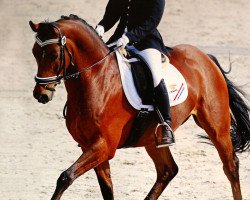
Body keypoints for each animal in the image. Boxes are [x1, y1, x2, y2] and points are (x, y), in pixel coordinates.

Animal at [29, 14, 250, 199]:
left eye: (53, 55)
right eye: (34, 53)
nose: (41, 94)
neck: (97, 80)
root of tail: (205, 57)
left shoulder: (103, 146)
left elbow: (65, 177)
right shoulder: (89, 146)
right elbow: (106, 188)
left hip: (216, 126)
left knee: (231, 166)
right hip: (152, 137)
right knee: (168, 170)